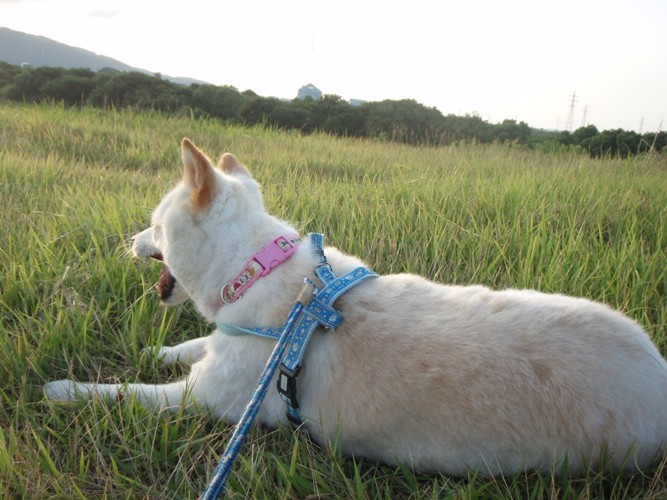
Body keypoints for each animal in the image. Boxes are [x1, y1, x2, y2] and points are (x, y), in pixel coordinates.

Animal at [44, 138, 667, 476]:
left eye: (153, 226)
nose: (129, 240)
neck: (256, 267)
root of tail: (659, 375)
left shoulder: (203, 399)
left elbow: (123, 394)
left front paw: (64, 389)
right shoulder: (225, 341)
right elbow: (193, 343)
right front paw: (158, 347)